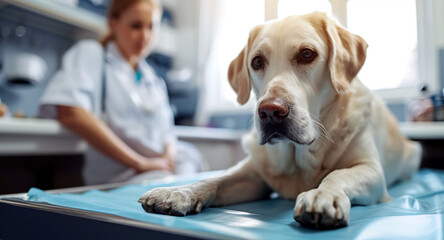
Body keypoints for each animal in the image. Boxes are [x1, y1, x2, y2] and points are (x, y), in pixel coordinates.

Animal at [138, 12, 420, 230]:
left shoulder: (370, 169)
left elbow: (338, 174)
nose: (270, 112)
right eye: (256, 61)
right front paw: (178, 192)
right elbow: (215, 179)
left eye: (307, 54)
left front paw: (322, 194)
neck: (299, 156)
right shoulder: (252, 174)